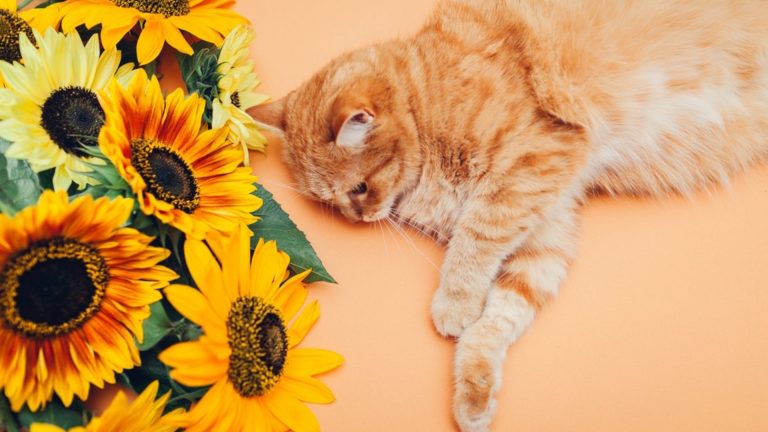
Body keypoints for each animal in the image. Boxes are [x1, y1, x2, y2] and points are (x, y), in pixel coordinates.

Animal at [250, 1, 768, 430]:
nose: (357, 218)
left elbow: (474, 241)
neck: (426, 102)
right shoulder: (546, 225)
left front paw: (453, 304)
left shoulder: (529, 165)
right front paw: (475, 390)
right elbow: (504, 311)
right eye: (330, 202)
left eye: (358, 189)